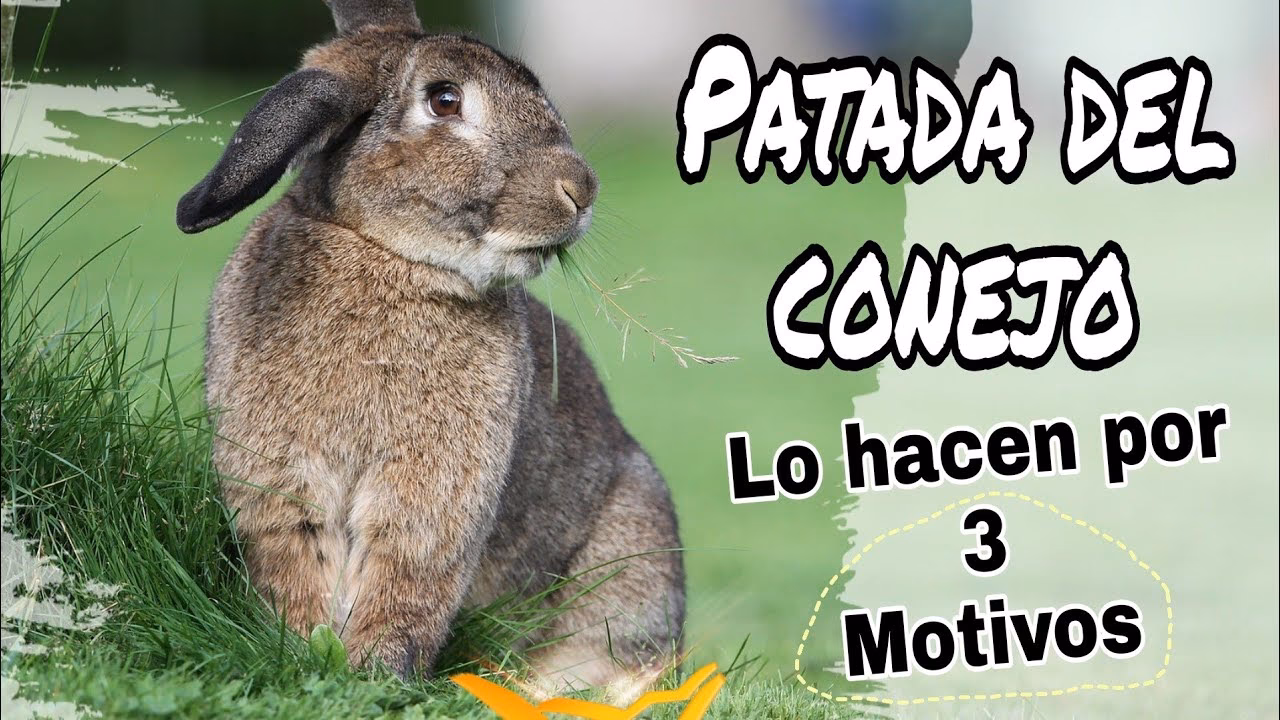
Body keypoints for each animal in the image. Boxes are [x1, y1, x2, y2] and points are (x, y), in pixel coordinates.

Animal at [175, 0, 685, 698]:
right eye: (444, 100)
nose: (579, 190)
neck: (384, 253)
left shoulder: (431, 496)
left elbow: (405, 580)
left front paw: (375, 675)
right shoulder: (279, 483)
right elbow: (300, 566)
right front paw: (304, 652)